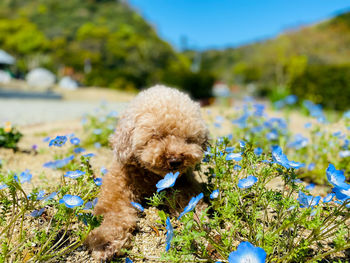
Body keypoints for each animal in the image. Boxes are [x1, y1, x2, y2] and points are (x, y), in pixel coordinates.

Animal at [86, 85, 209, 262]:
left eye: (188, 139)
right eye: (156, 135)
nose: (175, 160)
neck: (150, 177)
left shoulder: (183, 183)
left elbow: (190, 203)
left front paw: (198, 221)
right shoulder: (118, 188)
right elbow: (112, 213)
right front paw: (104, 242)